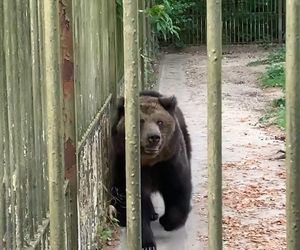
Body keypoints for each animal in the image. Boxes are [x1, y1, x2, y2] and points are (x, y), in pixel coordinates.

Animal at [110, 89, 192, 248]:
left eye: (160, 121)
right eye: (141, 121)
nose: (154, 137)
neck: (149, 163)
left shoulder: (170, 161)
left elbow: (178, 189)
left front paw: (168, 221)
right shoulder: (124, 165)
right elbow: (133, 204)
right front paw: (147, 242)